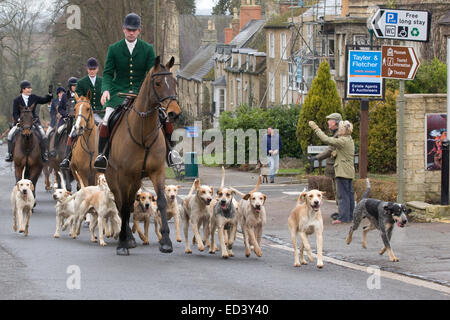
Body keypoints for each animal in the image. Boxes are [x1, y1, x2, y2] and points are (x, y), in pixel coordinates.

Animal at [105, 56, 181, 256]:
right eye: (158, 83)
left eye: (175, 82)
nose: (174, 113)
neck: (143, 131)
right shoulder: (123, 175)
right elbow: (124, 207)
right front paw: (122, 244)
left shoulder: (157, 172)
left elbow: (161, 202)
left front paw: (166, 242)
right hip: (114, 178)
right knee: (121, 202)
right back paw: (126, 238)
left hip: (136, 180)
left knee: (130, 201)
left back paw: (130, 238)